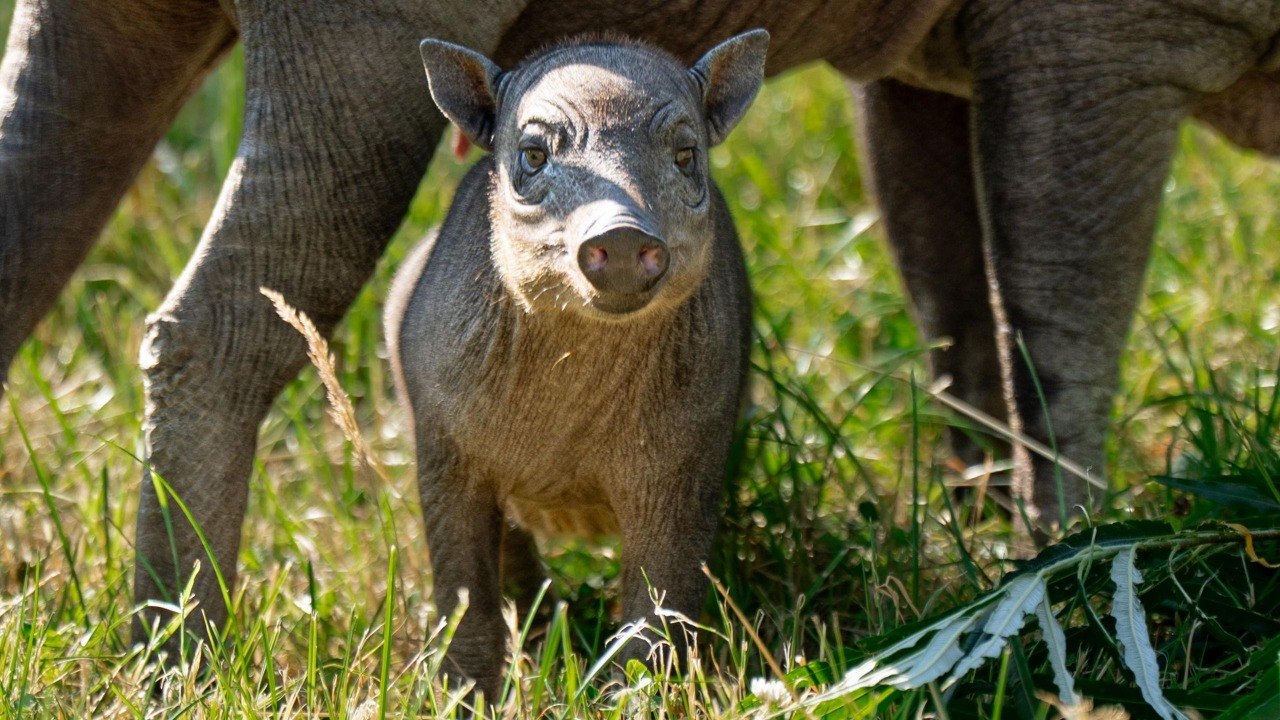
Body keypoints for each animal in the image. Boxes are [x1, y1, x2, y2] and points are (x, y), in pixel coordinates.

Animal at [384, 31, 769, 697]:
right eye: (534, 154)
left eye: (686, 154)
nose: (620, 236)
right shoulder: (441, 452)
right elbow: (462, 591)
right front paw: (463, 696)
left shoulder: (684, 464)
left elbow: (658, 602)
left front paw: (632, 695)